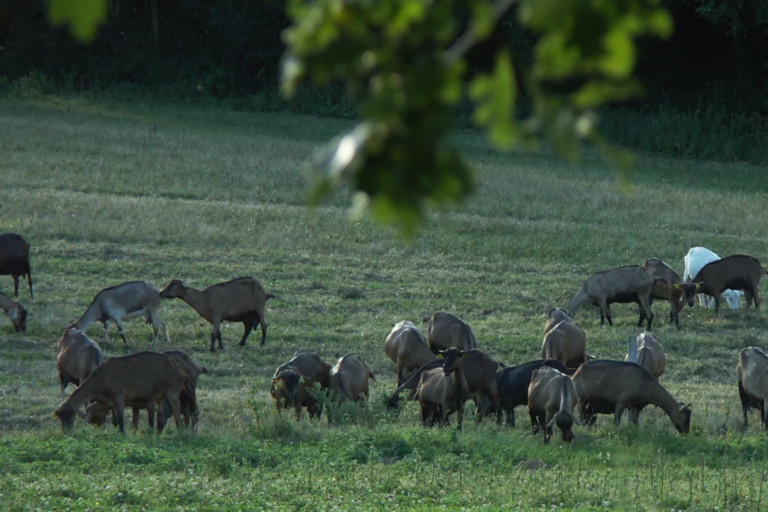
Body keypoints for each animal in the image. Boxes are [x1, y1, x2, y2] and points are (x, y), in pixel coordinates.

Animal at [54, 352, 189, 432]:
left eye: (69, 416)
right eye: (61, 418)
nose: (65, 431)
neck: (101, 379)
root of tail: (180, 370)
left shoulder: (119, 397)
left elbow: (121, 419)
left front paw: (123, 433)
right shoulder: (111, 403)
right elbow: (115, 420)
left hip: (172, 392)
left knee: (177, 414)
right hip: (160, 396)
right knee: (160, 416)